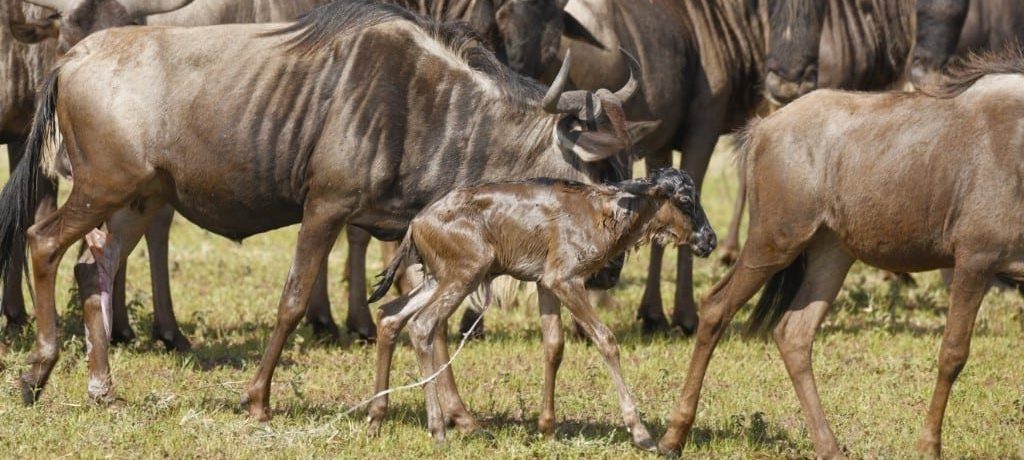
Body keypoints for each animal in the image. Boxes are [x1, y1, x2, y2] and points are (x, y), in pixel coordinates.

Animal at [366, 168, 712, 448]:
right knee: (422, 325)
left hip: (438, 279)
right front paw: (640, 433)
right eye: (685, 199)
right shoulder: (566, 280)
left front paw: (547, 428)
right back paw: (437, 430)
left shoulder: (545, 283)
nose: (709, 240)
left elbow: (554, 346)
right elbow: (606, 339)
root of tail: (416, 223)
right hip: (464, 275)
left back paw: (376, 419)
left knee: (389, 315)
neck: (602, 212)